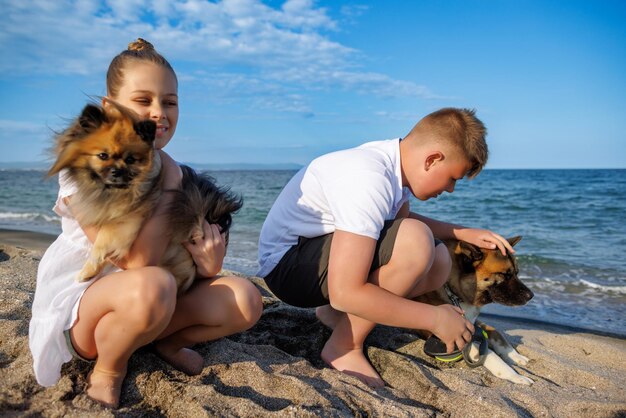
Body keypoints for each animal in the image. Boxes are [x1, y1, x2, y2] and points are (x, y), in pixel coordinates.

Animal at [49, 99, 241, 292]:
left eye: (130, 160)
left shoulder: (128, 220)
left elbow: (102, 241)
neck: (114, 191)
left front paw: (88, 270)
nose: (116, 171)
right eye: (103, 156)